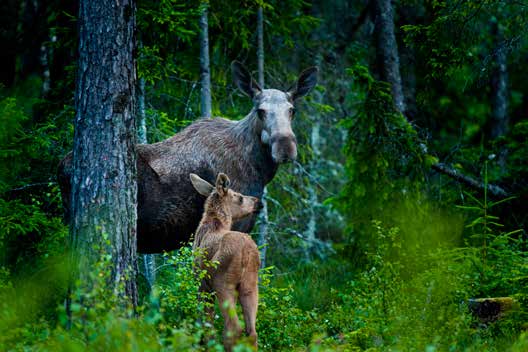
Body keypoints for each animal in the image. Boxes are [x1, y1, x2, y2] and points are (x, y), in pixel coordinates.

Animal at [57, 61, 318, 253]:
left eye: (292, 110)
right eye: (260, 111)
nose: (285, 148)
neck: (259, 169)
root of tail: (61, 168)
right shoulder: (238, 222)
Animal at [192, 172, 262, 350]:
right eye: (240, 197)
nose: (258, 201)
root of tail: (247, 252)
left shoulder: (202, 283)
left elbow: (206, 320)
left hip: (223, 283)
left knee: (233, 328)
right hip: (250, 285)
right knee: (252, 331)